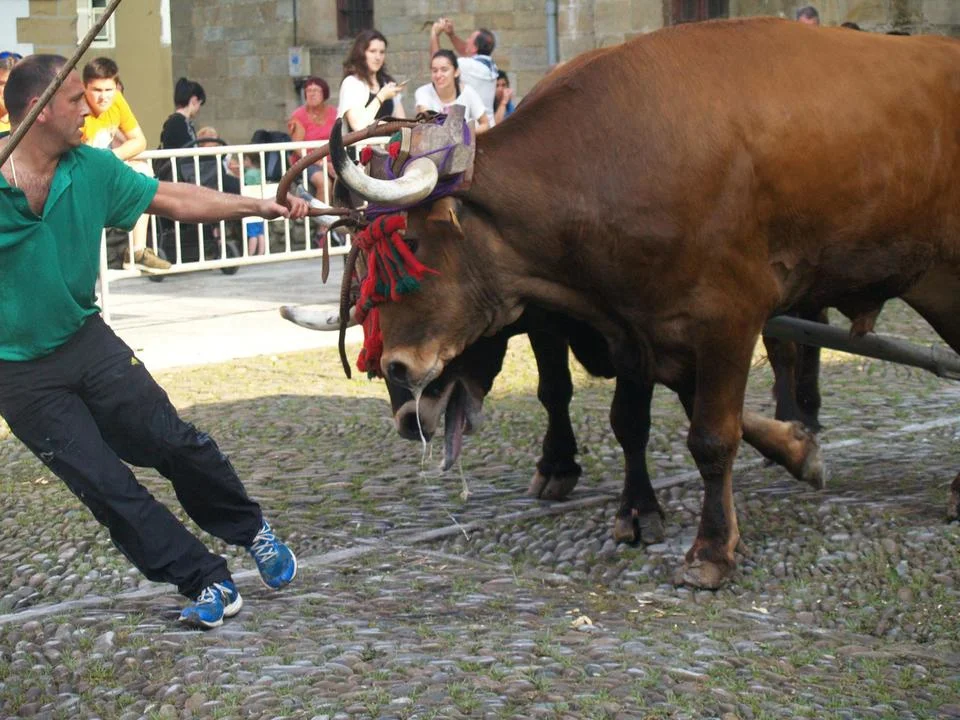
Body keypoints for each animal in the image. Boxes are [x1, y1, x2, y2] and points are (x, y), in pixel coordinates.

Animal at [328, 18, 960, 588]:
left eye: (409, 247)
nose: (398, 376)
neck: (615, 165)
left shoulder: (728, 315)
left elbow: (711, 435)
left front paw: (711, 551)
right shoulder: (638, 328)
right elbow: (641, 418)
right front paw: (790, 453)